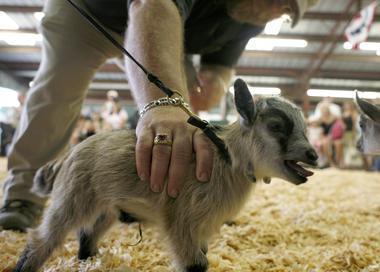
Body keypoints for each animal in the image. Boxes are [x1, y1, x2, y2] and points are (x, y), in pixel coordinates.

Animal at [13, 79, 318, 272]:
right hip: (73, 197)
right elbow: (196, 264)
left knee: (87, 235)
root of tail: (69, 154)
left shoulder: (202, 228)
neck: (225, 158)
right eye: (276, 127)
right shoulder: (182, 220)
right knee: (44, 238)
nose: (313, 154)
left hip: (107, 207)